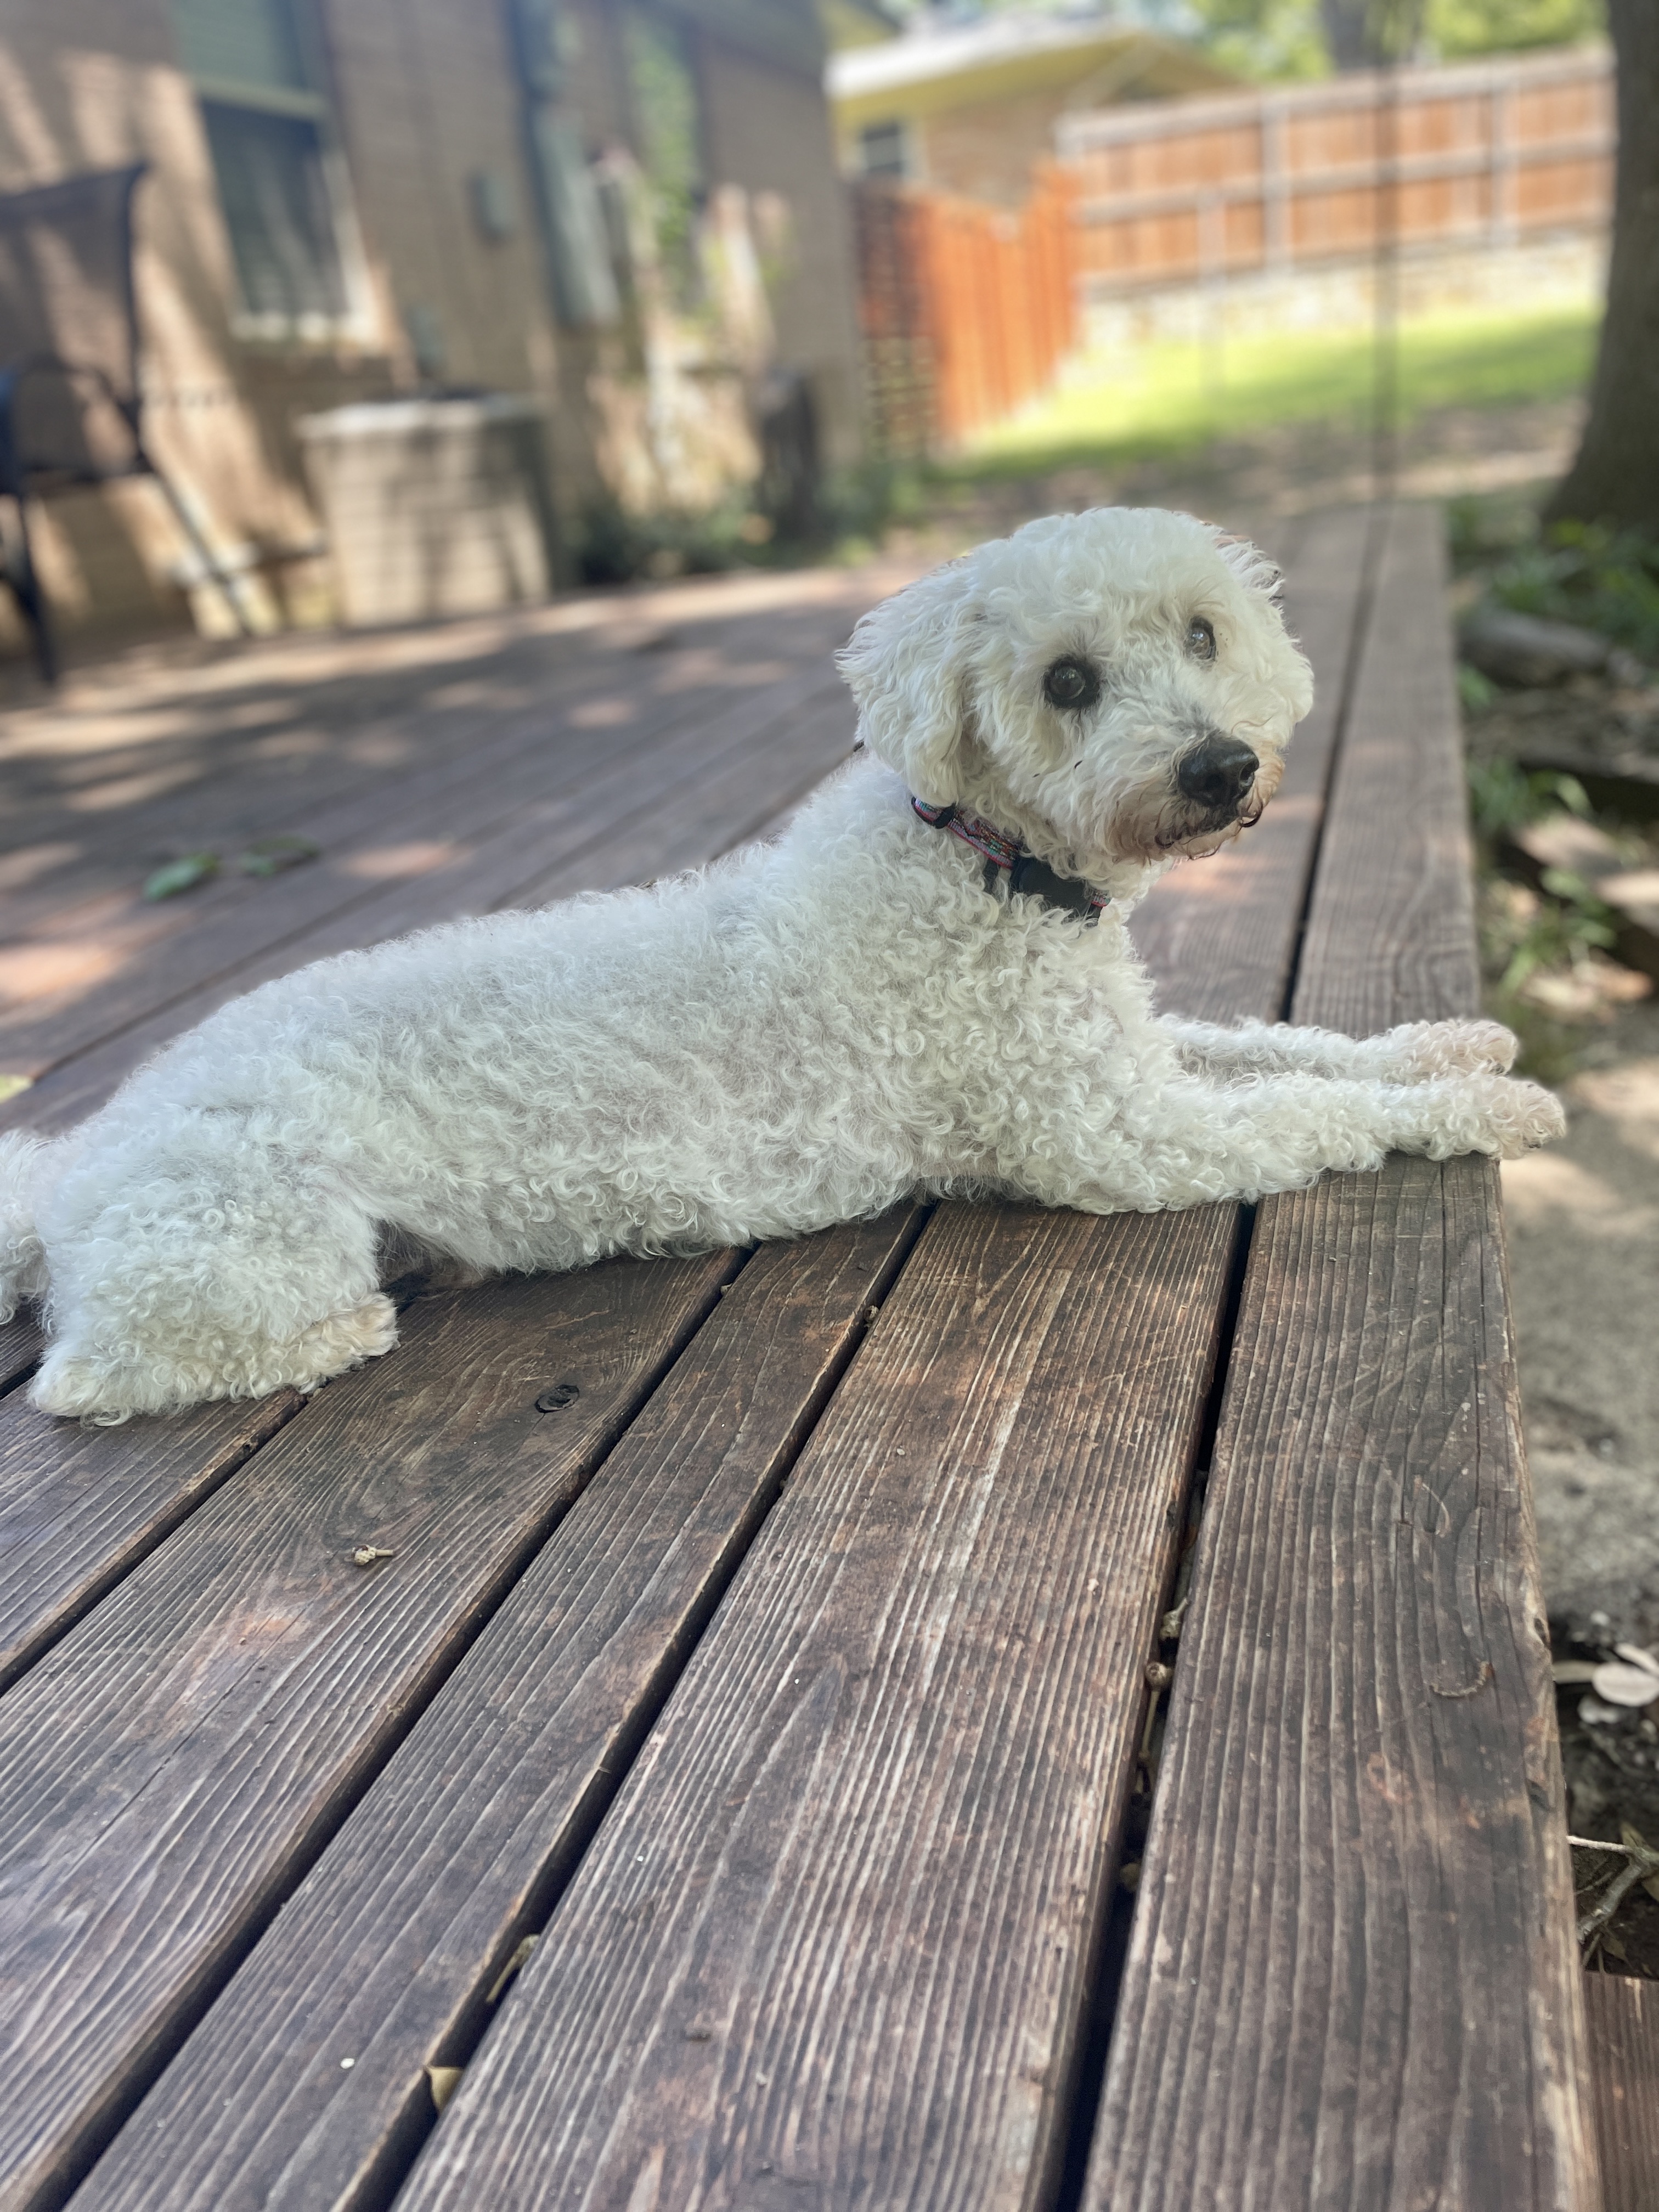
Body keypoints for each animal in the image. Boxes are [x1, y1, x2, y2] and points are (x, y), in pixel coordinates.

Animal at [0, 507, 1563, 1421]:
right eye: (1065, 681)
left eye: (1202, 632)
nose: (1223, 765)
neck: (982, 863)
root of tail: (80, 1162)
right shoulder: (1112, 1136)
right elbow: (1314, 1112)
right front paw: (1484, 1110)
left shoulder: (1129, 1053)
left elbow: (1293, 1045)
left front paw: (1452, 1048)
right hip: (243, 1244)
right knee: (90, 1379)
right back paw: (338, 1335)